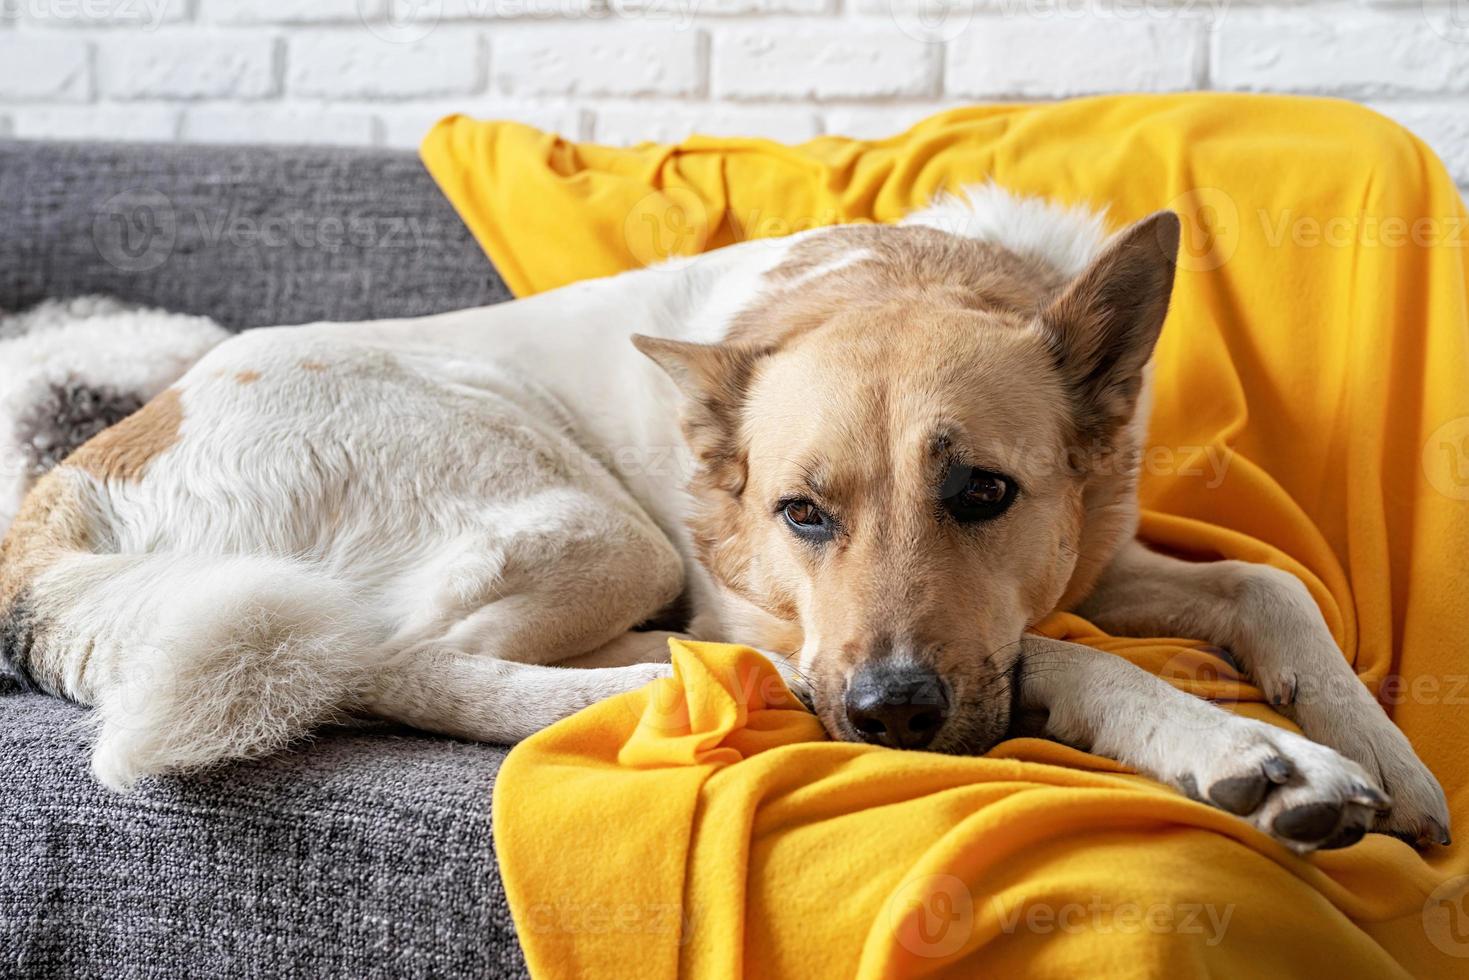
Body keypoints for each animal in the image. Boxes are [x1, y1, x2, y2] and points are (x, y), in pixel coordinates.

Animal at [0, 183, 1445, 852]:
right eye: (800, 510)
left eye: (982, 492)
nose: (883, 716)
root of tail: (64, 491)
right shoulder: (801, 605)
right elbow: (1064, 654)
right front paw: (1250, 755)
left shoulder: (1100, 548)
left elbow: (1268, 588)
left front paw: (1388, 751)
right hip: (589, 525)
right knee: (402, 660)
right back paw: (689, 680)